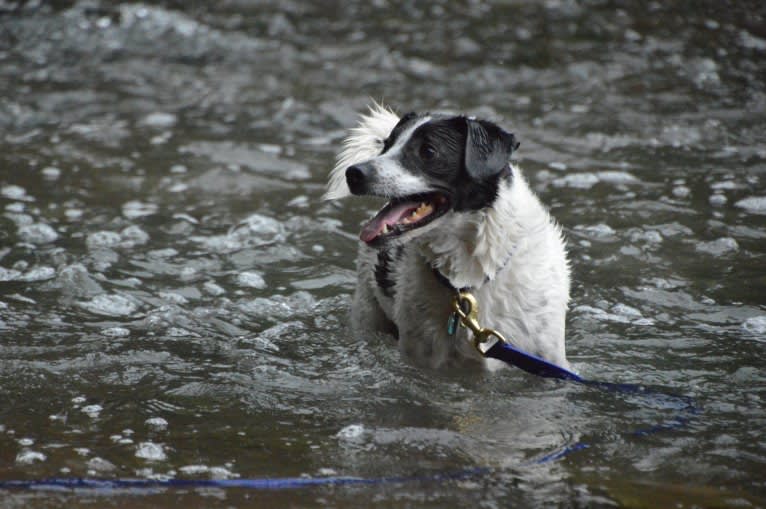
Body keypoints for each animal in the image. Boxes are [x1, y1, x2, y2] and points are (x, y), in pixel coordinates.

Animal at [324, 104, 568, 370]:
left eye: (428, 151)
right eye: (386, 145)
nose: (353, 173)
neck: (471, 276)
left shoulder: (547, 358)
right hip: (367, 313)